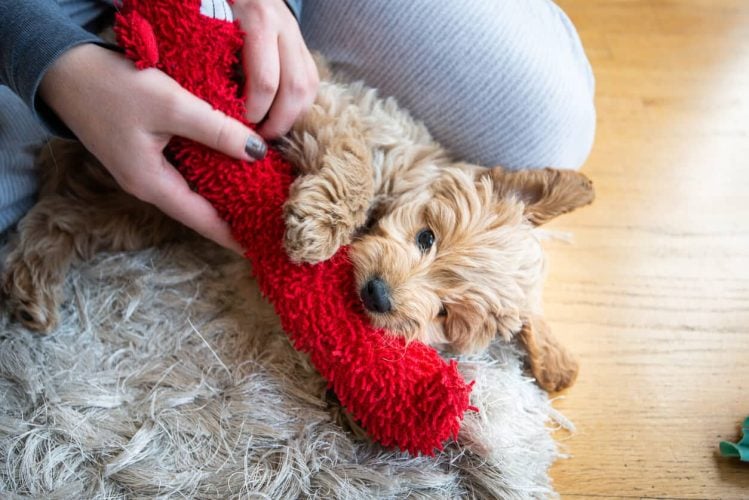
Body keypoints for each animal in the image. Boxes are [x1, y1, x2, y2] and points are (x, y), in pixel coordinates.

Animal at [2, 68, 592, 392]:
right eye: (426, 237)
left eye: (447, 315)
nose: (378, 295)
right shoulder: (328, 105)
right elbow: (355, 163)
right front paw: (317, 230)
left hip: (137, 205)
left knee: (62, 215)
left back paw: (30, 284)